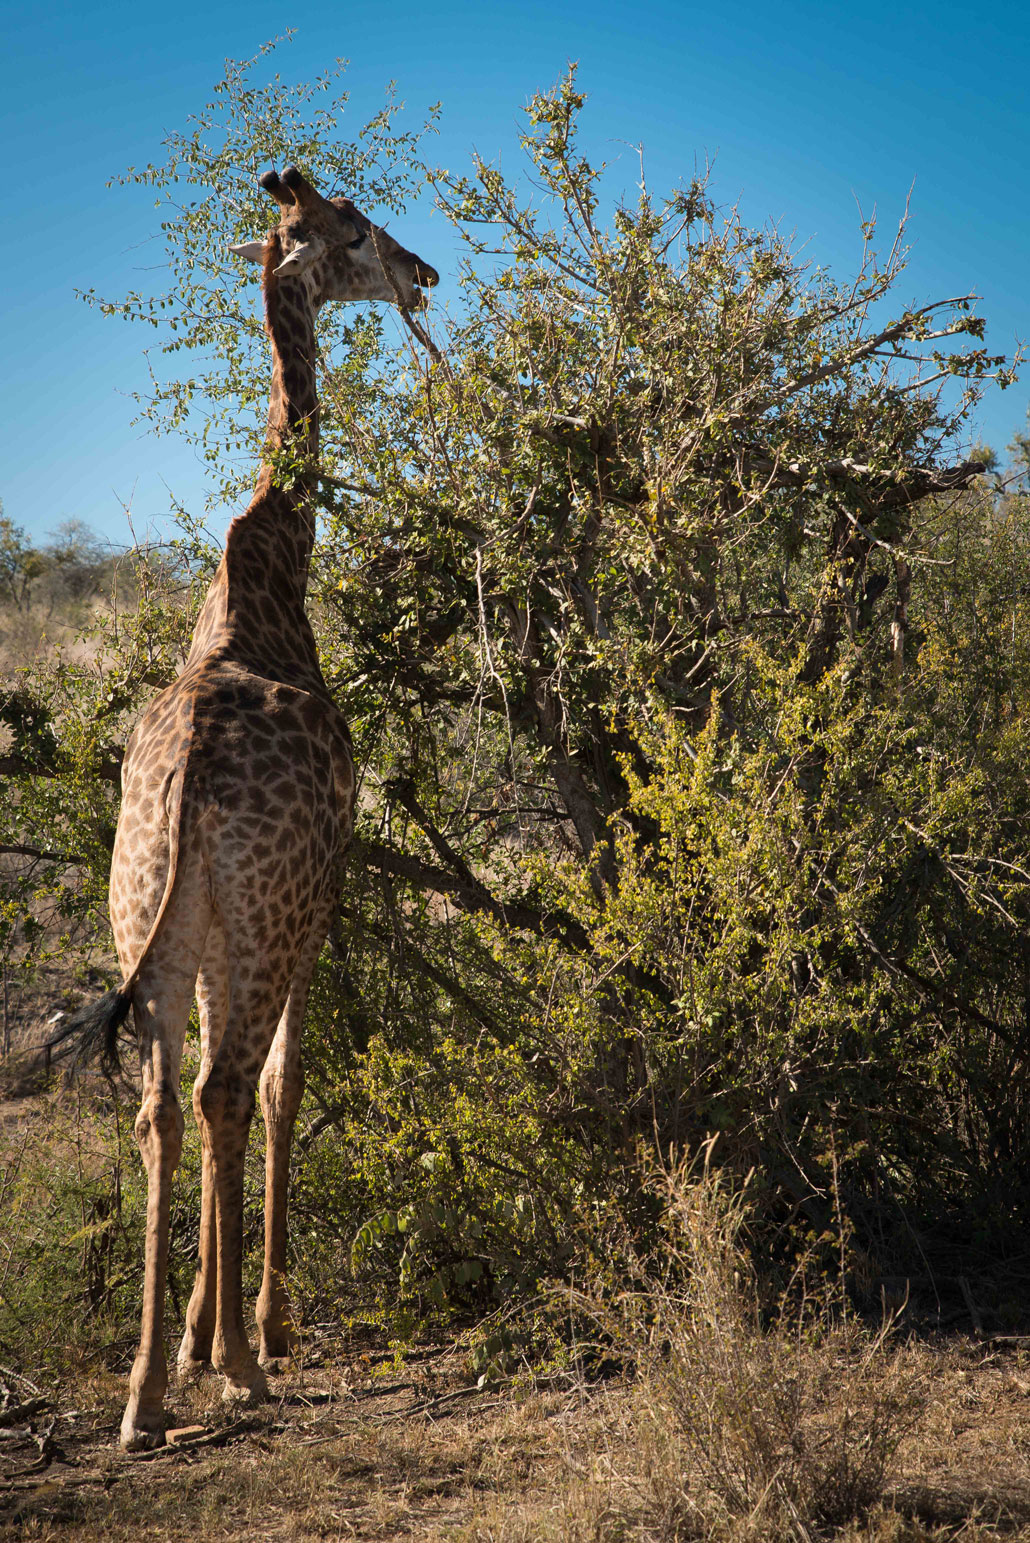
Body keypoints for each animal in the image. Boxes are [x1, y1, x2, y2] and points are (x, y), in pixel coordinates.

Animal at [52, 165, 437, 1444]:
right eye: (354, 230)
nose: (424, 271)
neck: (272, 572)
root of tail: (184, 788)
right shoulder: (316, 897)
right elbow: (281, 1084)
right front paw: (254, 1331)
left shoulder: (212, 921)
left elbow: (211, 1101)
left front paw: (191, 1337)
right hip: (261, 918)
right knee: (225, 1087)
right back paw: (236, 1366)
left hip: (148, 915)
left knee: (160, 1108)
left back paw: (142, 1395)